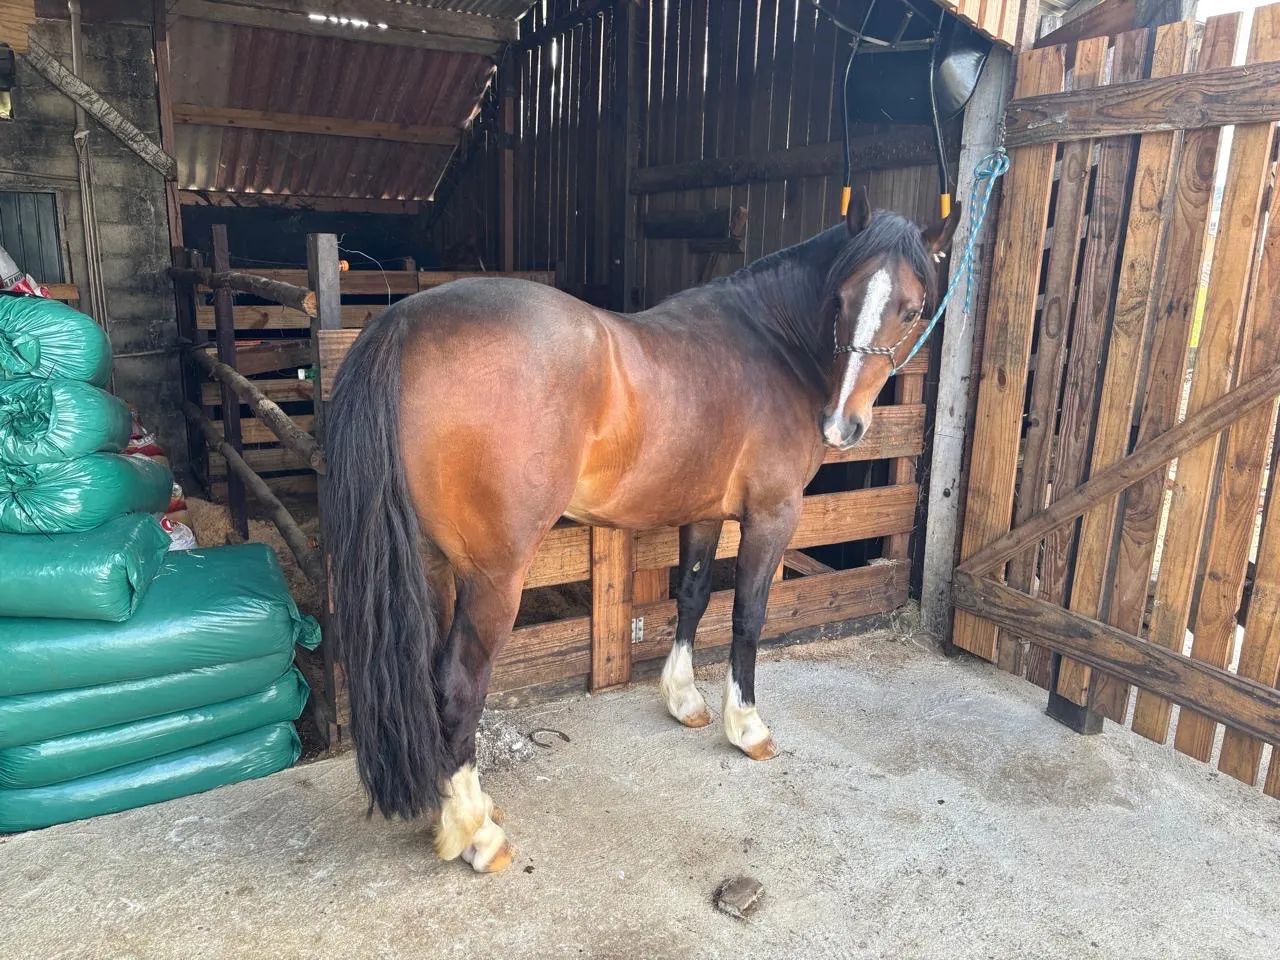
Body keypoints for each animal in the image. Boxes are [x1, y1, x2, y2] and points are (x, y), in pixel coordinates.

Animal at [323, 187, 958, 874]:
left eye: (911, 308)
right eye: (839, 299)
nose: (841, 424)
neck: (770, 344)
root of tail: (403, 323)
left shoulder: (703, 512)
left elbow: (694, 597)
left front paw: (684, 701)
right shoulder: (772, 514)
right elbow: (748, 616)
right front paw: (747, 727)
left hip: (434, 564)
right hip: (493, 577)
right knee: (459, 684)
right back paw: (478, 835)